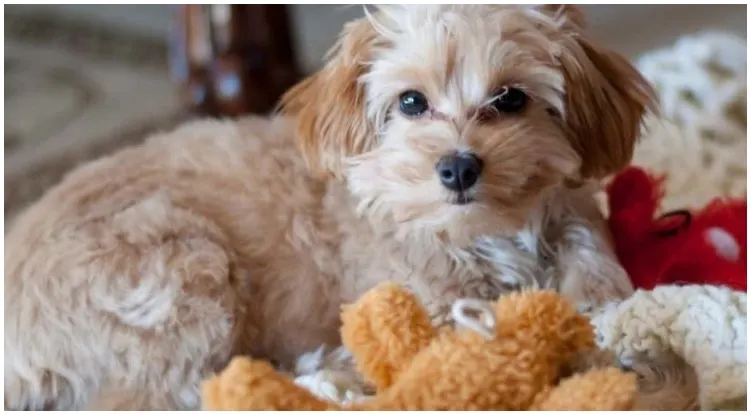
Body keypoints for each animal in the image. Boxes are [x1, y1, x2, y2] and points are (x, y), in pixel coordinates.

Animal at [7, 4, 664, 412]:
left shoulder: (577, 225)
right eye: (411, 102)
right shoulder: (422, 311)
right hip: (185, 271)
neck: (484, 235)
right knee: (163, 396)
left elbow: (594, 270)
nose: (458, 168)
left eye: (510, 98)